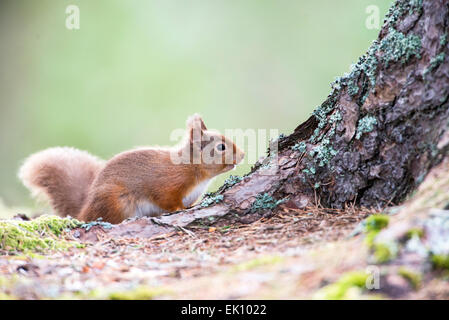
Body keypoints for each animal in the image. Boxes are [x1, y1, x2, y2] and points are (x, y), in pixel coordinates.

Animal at [19, 114, 243, 222]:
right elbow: (167, 199)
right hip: (116, 201)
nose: (242, 155)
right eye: (221, 147)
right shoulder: (167, 183)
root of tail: (84, 211)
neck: (193, 168)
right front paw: (179, 209)